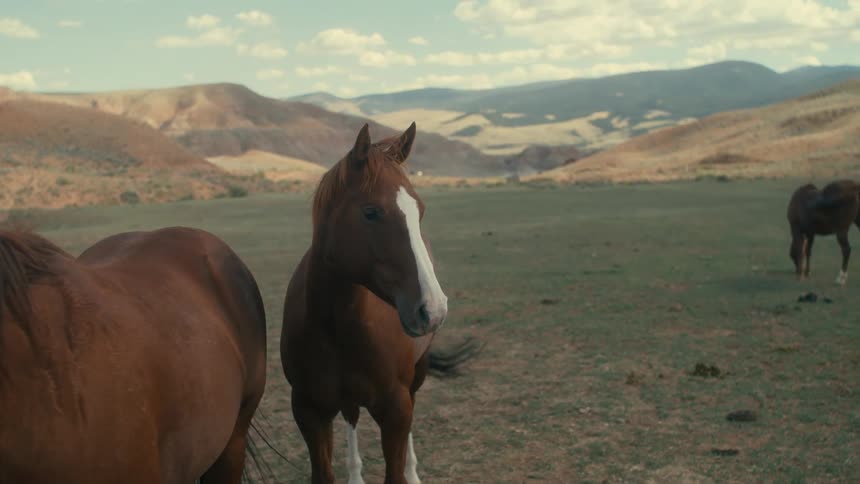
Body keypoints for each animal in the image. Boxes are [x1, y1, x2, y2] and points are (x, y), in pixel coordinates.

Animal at [280, 122, 478, 484]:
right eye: (371, 212)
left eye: (420, 211)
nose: (433, 309)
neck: (335, 326)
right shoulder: (309, 411)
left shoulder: (396, 410)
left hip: (416, 377)